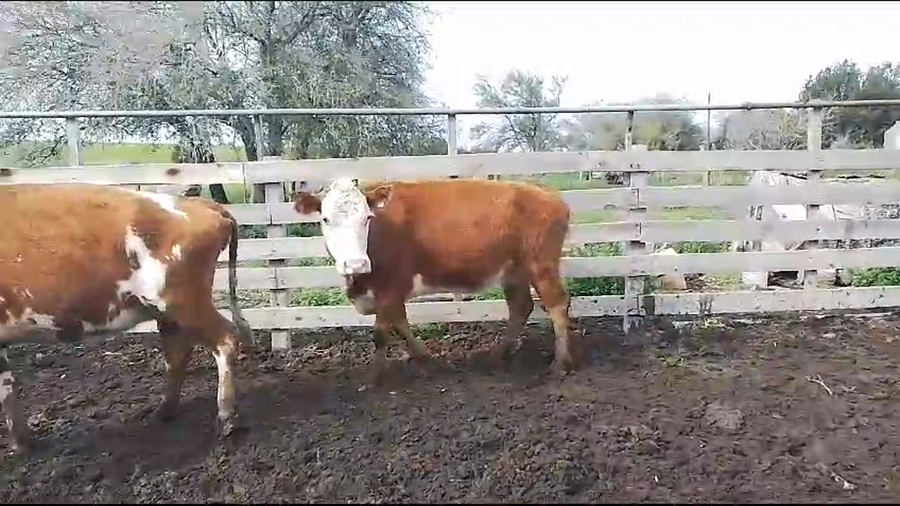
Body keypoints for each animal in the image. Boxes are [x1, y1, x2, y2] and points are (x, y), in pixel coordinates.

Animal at [0, 183, 253, 453]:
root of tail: (199, 204)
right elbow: (6, 387)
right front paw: (20, 443)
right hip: (168, 310)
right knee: (177, 353)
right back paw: (164, 411)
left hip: (184, 301)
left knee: (225, 339)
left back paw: (225, 417)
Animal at [292, 178, 575, 383]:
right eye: (325, 219)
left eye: (367, 218)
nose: (355, 263)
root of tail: (549, 195)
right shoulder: (392, 293)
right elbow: (401, 324)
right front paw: (425, 358)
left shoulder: (393, 286)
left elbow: (381, 332)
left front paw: (374, 377)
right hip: (513, 272)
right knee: (520, 307)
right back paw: (499, 354)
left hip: (541, 266)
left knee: (557, 305)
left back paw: (560, 362)